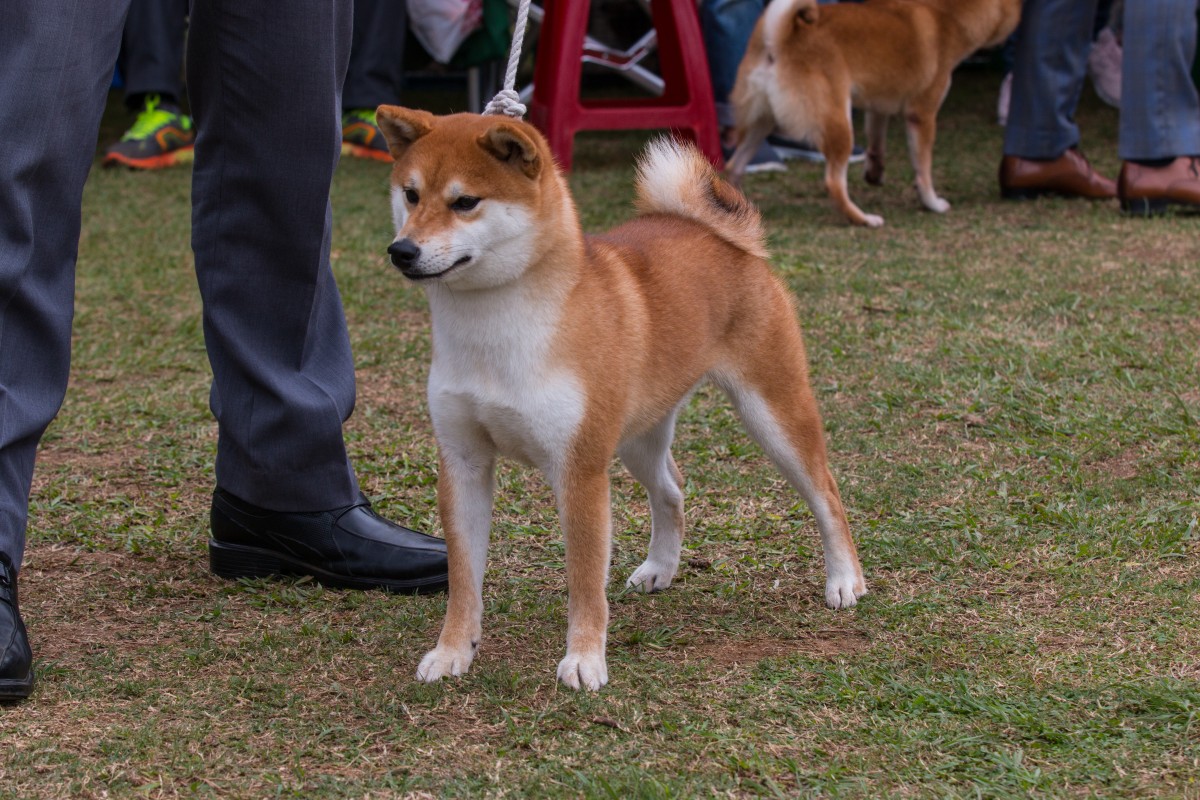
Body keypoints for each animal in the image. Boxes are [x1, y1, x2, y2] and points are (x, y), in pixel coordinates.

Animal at [374, 106, 864, 690]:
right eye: (410, 194)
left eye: (465, 201)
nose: (402, 250)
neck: (493, 330)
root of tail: (719, 233)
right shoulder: (463, 461)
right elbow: (464, 578)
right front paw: (453, 651)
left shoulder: (580, 469)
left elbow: (585, 581)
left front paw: (584, 659)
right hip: (637, 437)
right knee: (672, 490)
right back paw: (660, 568)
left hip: (772, 411)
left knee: (826, 493)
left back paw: (845, 579)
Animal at [724, 0, 1017, 226]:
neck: (943, 13)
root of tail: (777, 38)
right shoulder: (922, 114)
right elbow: (923, 168)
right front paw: (932, 203)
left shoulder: (878, 106)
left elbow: (877, 144)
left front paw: (875, 173)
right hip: (839, 123)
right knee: (834, 182)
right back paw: (863, 219)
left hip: (761, 123)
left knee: (734, 166)